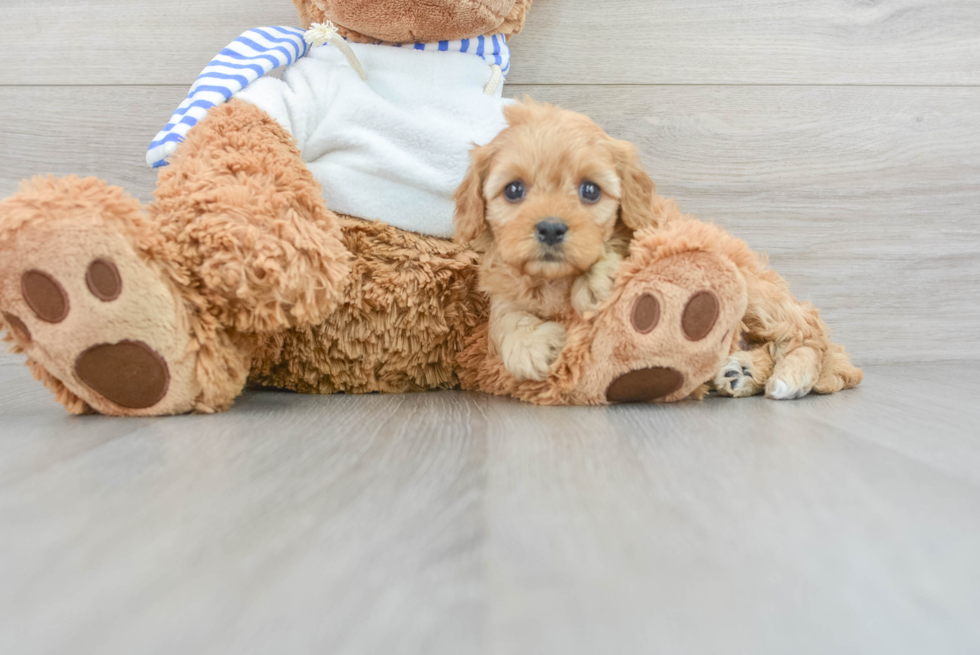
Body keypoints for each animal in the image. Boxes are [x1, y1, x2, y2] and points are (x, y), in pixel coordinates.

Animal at [452, 99, 856, 400]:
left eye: (590, 190)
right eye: (514, 190)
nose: (551, 227)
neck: (557, 280)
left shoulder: (652, 233)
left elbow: (623, 253)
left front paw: (598, 282)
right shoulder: (504, 282)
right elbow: (504, 317)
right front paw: (531, 346)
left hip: (754, 290)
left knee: (806, 331)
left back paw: (790, 375)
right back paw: (738, 372)